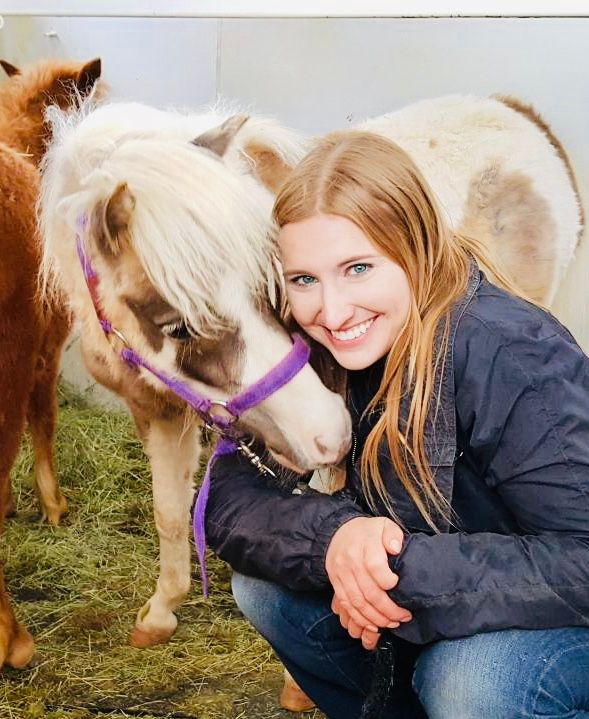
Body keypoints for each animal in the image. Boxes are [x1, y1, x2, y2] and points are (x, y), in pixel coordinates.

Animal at [39, 100, 351, 649]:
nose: (330, 432)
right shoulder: (161, 408)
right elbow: (170, 511)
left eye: (270, 287)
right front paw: (162, 612)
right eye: (178, 327)